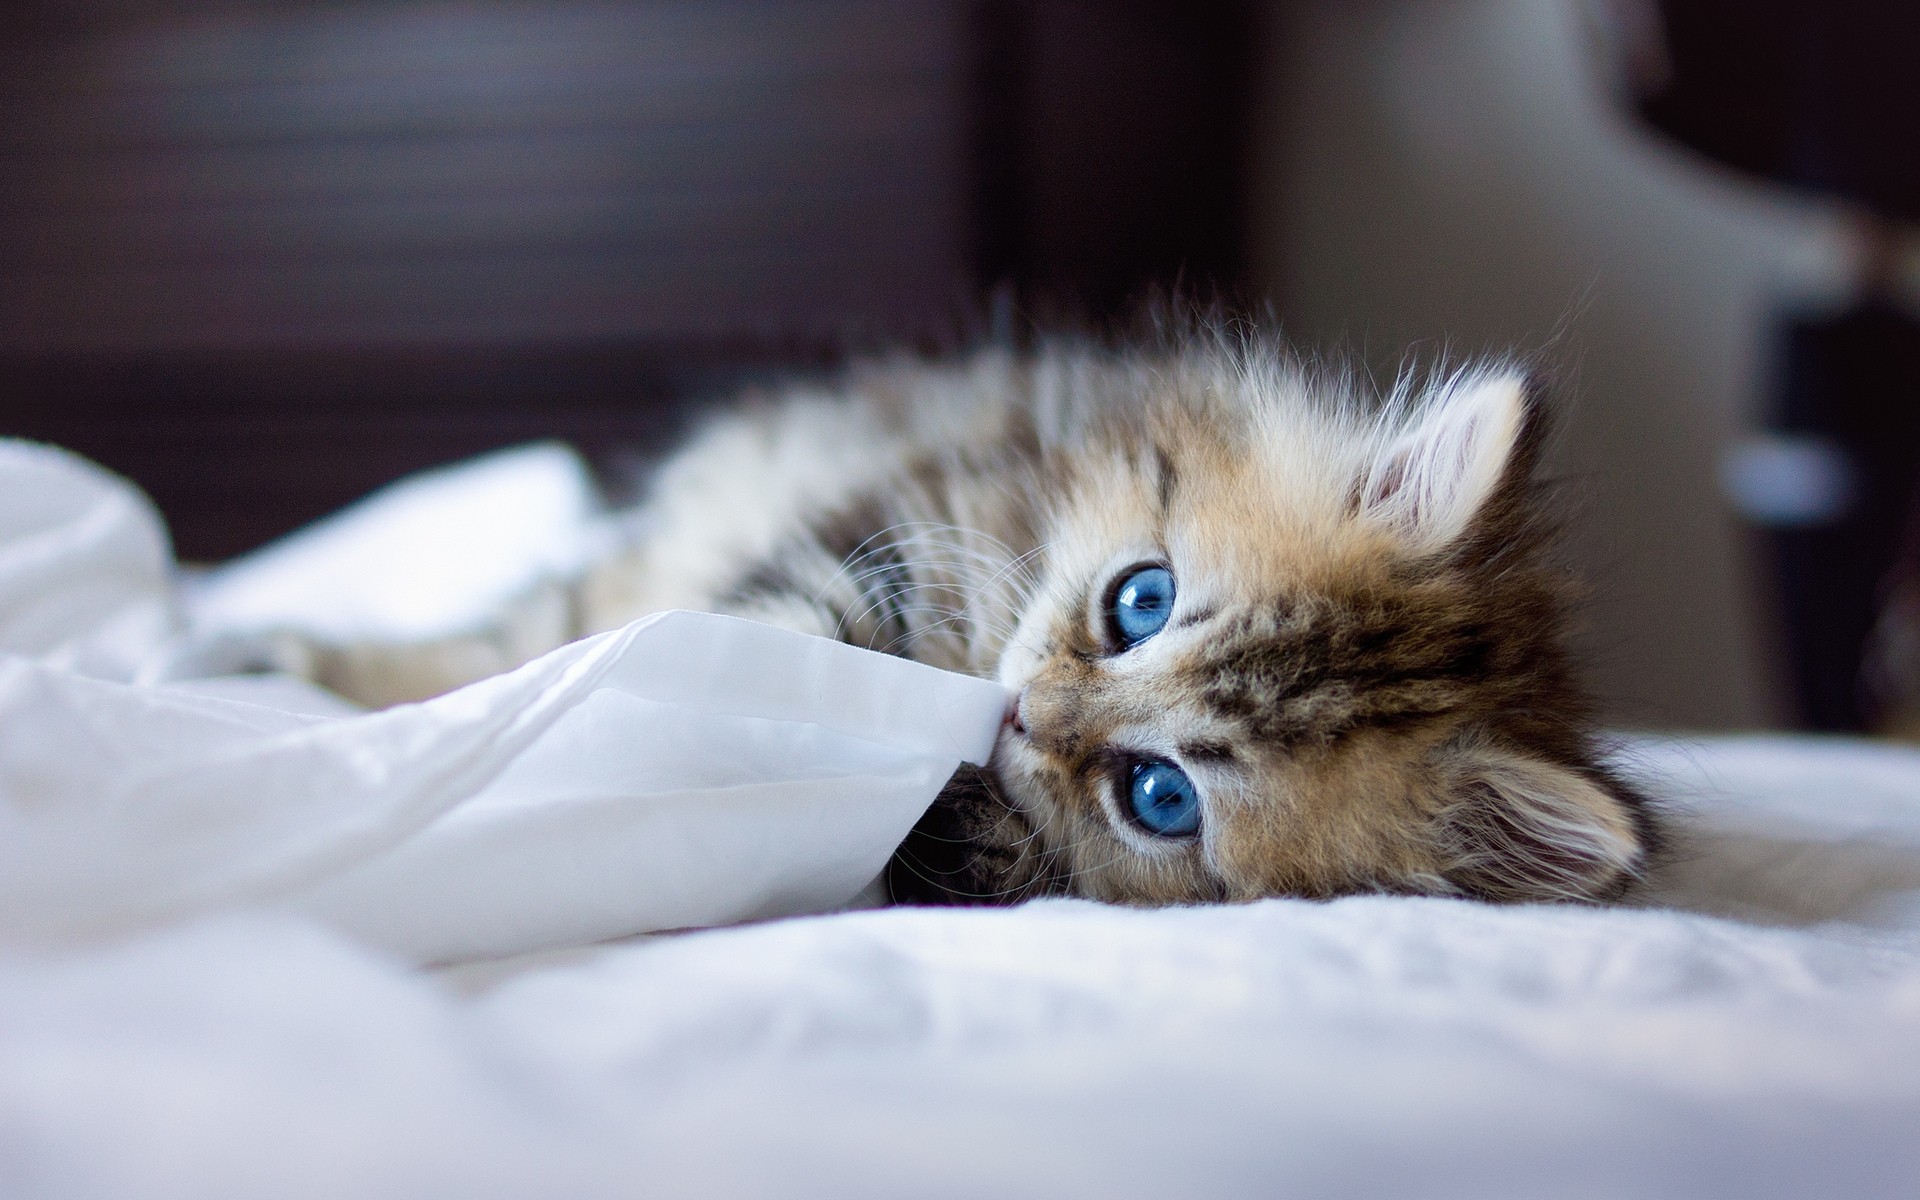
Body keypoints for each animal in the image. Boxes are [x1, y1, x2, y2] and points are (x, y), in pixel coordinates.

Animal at [307, 322, 1658, 902]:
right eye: (1141, 600)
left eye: (1162, 798)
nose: (1021, 709)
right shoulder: (892, 510)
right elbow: (797, 623)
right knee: (530, 627)